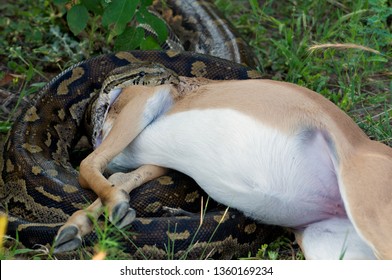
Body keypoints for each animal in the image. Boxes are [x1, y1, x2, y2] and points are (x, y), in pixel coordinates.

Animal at [54, 64, 392, 260]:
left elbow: (88, 169)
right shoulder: (153, 161)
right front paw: (79, 226)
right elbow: (115, 179)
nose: (168, 75)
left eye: (151, 74)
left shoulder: (145, 104)